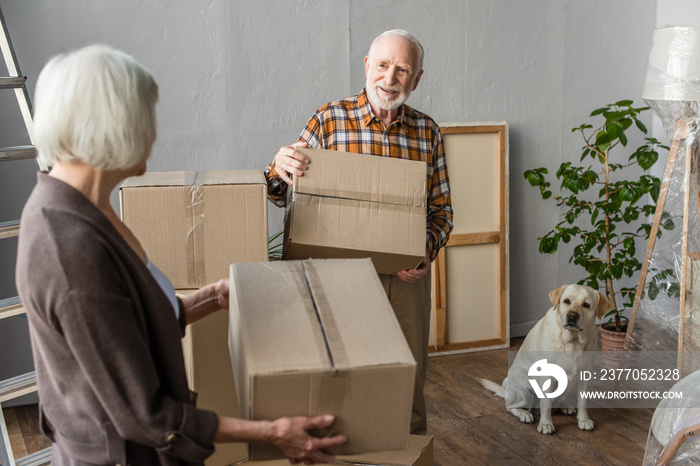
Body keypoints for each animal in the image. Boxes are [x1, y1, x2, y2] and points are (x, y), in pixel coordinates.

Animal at [478, 284, 608, 434]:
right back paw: (525, 414)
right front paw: (546, 424)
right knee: (510, 407)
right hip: (524, 391)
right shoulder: (547, 376)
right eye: (566, 301)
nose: (572, 315)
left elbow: (583, 402)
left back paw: (564, 406)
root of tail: (505, 391)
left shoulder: (584, 375)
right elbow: (545, 404)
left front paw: (584, 420)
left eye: (586, 305)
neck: (572, 342)